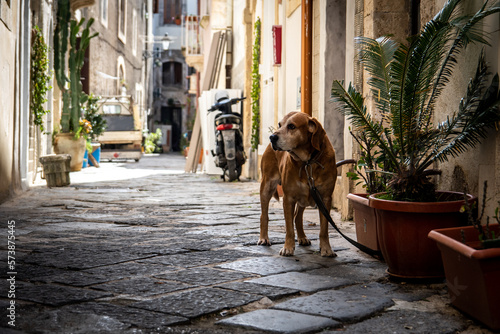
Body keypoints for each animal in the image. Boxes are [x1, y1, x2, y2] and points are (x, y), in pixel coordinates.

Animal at [258, 111, 336, 258]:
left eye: (292, 126)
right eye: (280, 125)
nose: (272, 137)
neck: (307, 162)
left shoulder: (325, 198)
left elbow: (324, 229)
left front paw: (326, 249)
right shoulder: (288, 198)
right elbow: (289, 228)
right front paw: (288, 247)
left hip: (305, 197)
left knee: (297, 217)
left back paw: (302, 237)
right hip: (267, 186)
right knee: (264, 215)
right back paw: (264, 238)